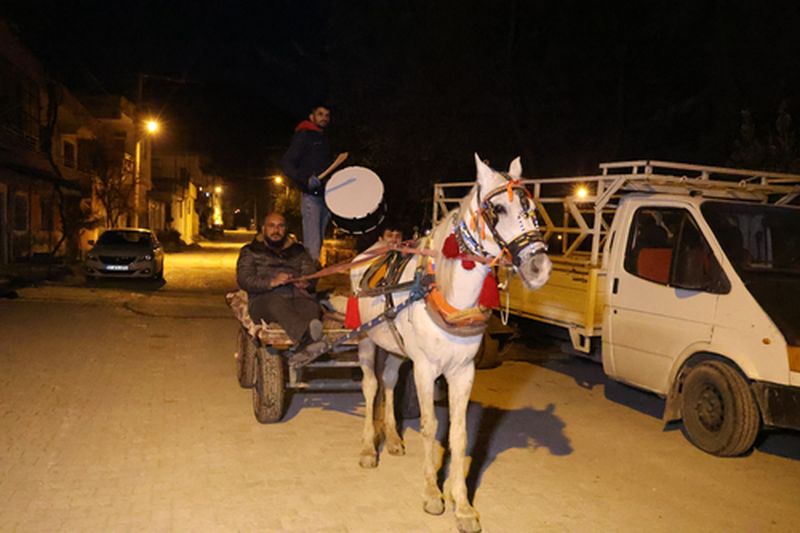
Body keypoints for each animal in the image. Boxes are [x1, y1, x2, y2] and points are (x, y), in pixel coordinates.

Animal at [354, 155, 552, 532]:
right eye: (498, 210)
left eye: (531, 208)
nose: (540, 268)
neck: (449, 295)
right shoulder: (425, 369)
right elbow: (430, 426)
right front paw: (432, 493)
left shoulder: (462, 372)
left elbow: (459, 435)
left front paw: (462, 505)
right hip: (365, 340)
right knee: (371, 386)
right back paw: (369, 449)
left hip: (396, 348)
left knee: (389, 382)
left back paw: (394, 439)